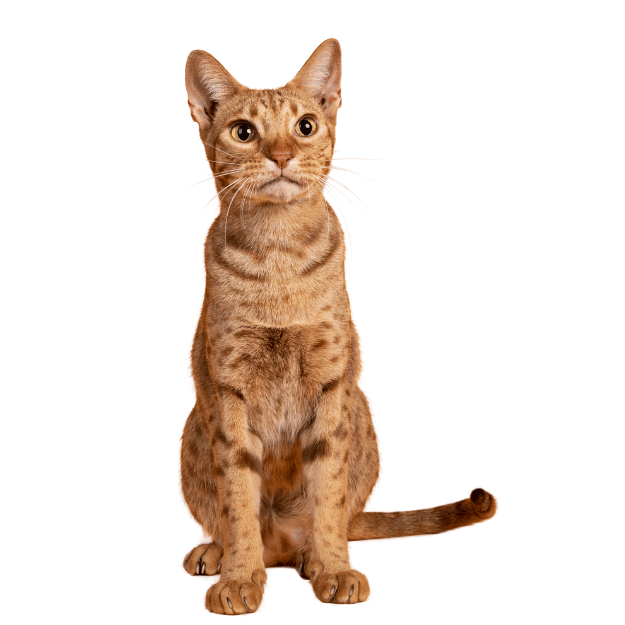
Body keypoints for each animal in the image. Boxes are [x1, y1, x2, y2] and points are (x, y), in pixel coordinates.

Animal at [180, 36, 498, 612]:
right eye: (244, 132)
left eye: (305, 126)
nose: (282, 154)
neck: (278, 258)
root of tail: (281, 546)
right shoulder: (228, 391)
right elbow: (237, 499)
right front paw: (240, 577)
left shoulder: (332, 386)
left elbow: (328, 493)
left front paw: (332, 567)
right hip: (197, 421)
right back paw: (220, 552)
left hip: (359, 408)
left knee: (338, 519)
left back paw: (308, 555)